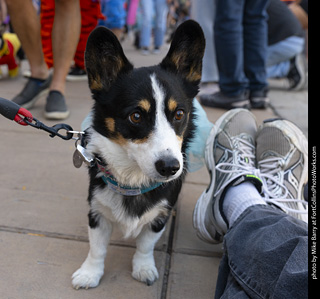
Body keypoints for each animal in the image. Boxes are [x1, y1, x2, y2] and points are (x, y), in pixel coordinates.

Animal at [72, 19, 205, 290]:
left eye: (179, 114)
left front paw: (143, 269)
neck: (133, 177)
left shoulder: (159, 217)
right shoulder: (97, 212)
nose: (170, 167)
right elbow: (96, 248)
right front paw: (89, 274)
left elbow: (145, 245)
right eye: (136, 116)